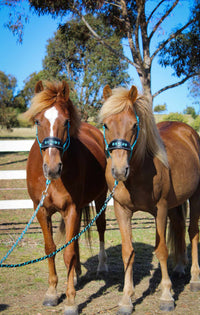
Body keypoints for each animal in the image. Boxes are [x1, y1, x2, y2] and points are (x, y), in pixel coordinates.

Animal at [24, 81, 108, 315]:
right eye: (38, 121)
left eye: (66, 121)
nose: (52, 168)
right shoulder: (42, 211)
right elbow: (50, 249)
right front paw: (52, 292)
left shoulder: (71, 208)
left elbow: (68, 252)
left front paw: (70, 300)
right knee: (76, 237)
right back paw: (78, 274)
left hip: (100, 198)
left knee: (100, 228)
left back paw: (101, 266)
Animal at [99, 85, 199, 314]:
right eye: (106, 124)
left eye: (134, 125)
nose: (119, 171)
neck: (138, 170)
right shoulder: (122, 210)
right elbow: (128, 252)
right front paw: (126, 299)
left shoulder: (160, 210)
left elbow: (161, 250)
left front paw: (166, 296)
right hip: (175, 205)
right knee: (180, 227)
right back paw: (179, 267)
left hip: (196, 196)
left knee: (193, 232)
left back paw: (195, 279)